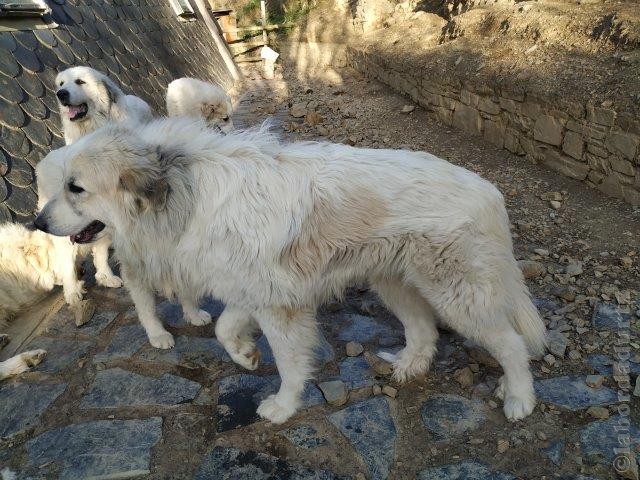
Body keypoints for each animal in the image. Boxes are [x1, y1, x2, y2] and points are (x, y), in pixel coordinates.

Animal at [33, 117, 544, 424]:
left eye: (76, 188)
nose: (37, 222)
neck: (183, 192)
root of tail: (489, 191)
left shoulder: (278, 306)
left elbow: (290, 362)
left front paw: (282, 406)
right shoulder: (254, 291)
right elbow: (223, 328)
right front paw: (244, 356)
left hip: (457, 293)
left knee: (511, 343)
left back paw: (520, 398)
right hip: (394, 283)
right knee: (424, 330)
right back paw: (408, 366)